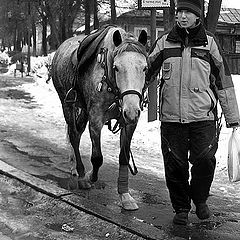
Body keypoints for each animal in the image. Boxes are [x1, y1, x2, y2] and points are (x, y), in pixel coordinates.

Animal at [51, 24, 147, 210]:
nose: (132, 110)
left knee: (77, 134)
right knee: (74, 136)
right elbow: (97, 158)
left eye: (145, 68)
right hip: (67, 104)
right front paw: (88, 178)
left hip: (83, 111)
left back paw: (75, 167)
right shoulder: (95, 119)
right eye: (117, 67)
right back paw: (80, 173)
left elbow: (124, 157)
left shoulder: (129, 123)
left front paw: (125, 196)